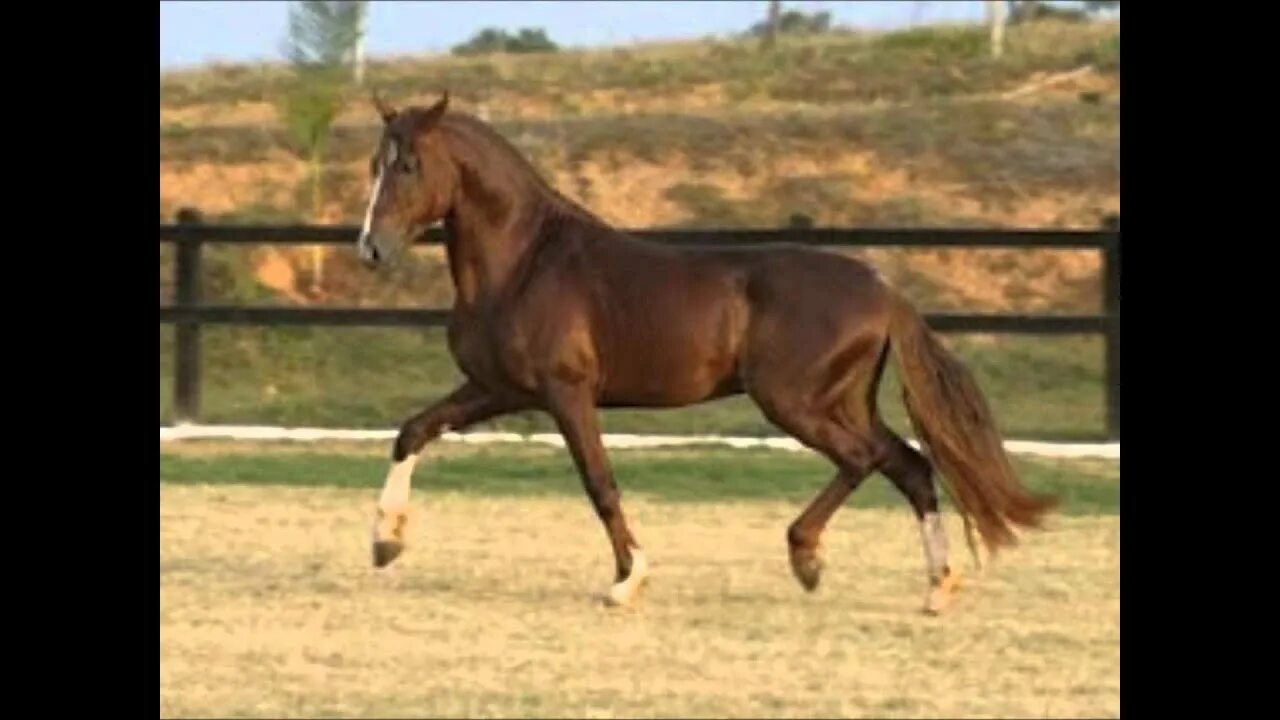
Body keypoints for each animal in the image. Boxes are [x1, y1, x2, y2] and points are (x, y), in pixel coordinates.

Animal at [355, 92, 1054, 614]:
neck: (526, 261)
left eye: (409, 165)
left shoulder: (566, 392)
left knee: (863, 460)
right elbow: (413, 431)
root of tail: (882, 288)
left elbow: (599, 482)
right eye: (374, 165)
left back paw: (807, 557)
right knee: (909, 466)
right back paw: (936, 588)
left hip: (795, 404)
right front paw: (385, 543)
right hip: (845, 402)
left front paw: (627, 581)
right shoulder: (498, 389)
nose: (371, 249)